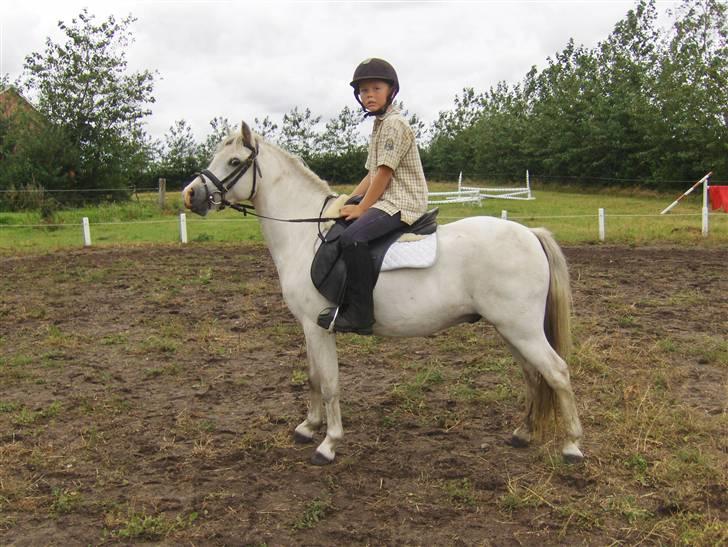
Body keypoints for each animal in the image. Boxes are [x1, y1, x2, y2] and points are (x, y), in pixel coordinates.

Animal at [182, 121, 584, 466]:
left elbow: (329, 383)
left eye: (235, 161)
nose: (191, 195)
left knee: (556, 373)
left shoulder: (318, 327)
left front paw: (328, 444)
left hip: (522, 329)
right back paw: (522, 433)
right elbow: (313, 377)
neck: (306, 235)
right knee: (533, 375)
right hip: (510, 329)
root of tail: (529, 234)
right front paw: (308, 427)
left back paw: (572, 446)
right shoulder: (307, 328)